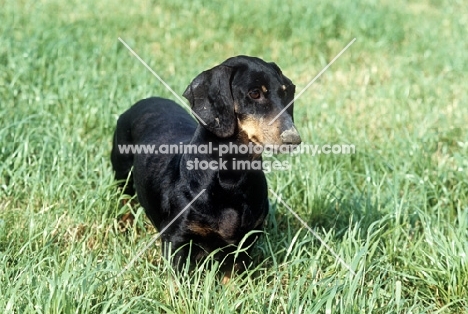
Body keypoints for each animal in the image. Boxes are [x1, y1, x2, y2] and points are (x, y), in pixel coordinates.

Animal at [113, 54, 302, 280]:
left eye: (286, 91)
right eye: (255, 93)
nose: (293, 139)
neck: (231, 182)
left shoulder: (245, 242)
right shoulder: (177, 240)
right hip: (122, 174)